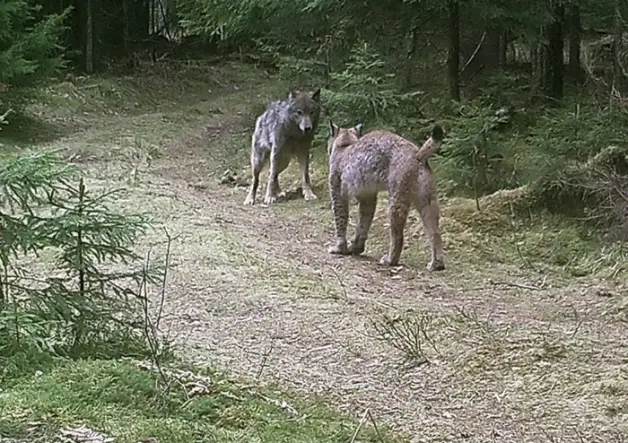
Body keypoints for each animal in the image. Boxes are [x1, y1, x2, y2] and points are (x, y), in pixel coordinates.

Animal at [326, 123, 444, 272]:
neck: (345, 144)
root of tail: (416, 152)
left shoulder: (337, 192)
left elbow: (340, 220)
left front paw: (339, 248)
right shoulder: (367, 197)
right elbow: (363, 222)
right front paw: (356, 248)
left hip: (397, 196)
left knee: (398, 235)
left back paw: (390, 260)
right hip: (427, 199)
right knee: (435, 232)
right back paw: (437, 264)